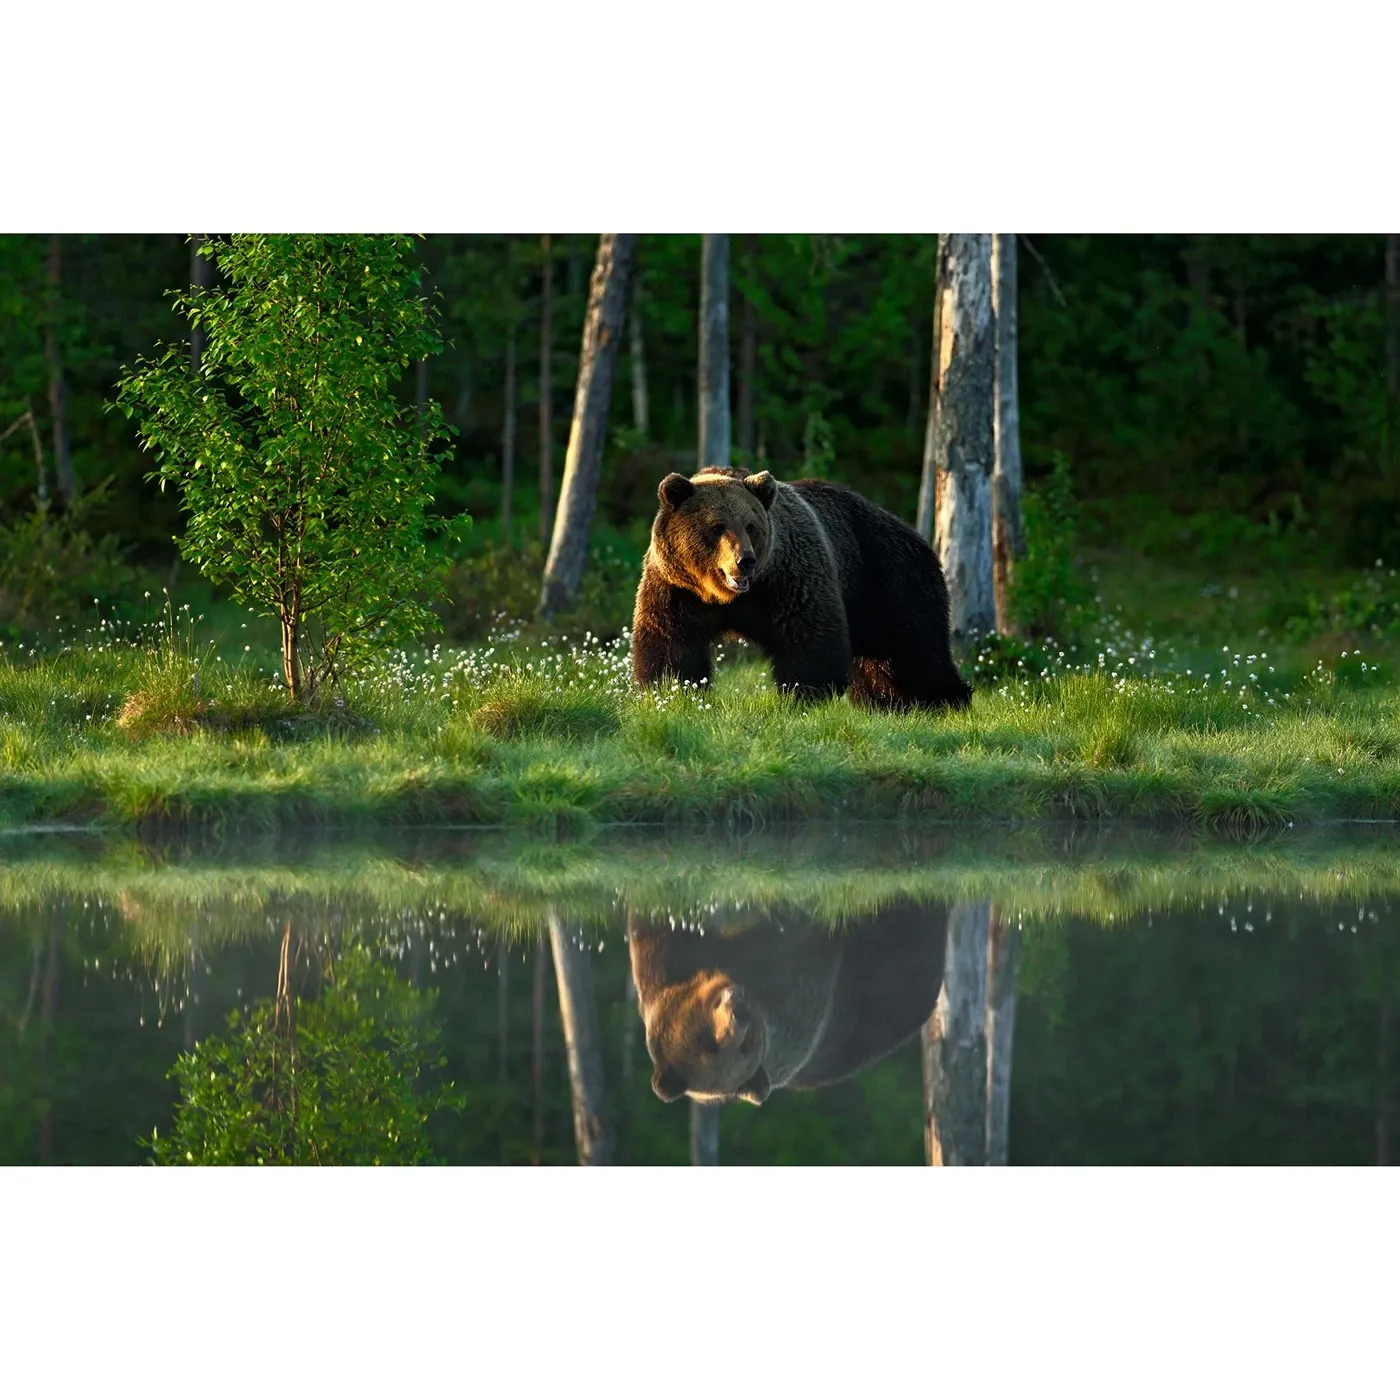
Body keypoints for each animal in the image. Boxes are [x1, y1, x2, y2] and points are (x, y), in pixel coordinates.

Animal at [630, 470, 968, 711]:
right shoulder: (677, 589)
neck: (728, 598)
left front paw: (803, 695)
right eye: (717, 526)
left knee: (915, 650)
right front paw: (671, 690)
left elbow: (808, 638)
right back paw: (885, 703)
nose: (745, 561)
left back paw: (944, 699)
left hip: (889, 580)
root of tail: (916, 535)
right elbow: (671, 643)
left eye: (750, 526)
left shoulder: (789, 580)